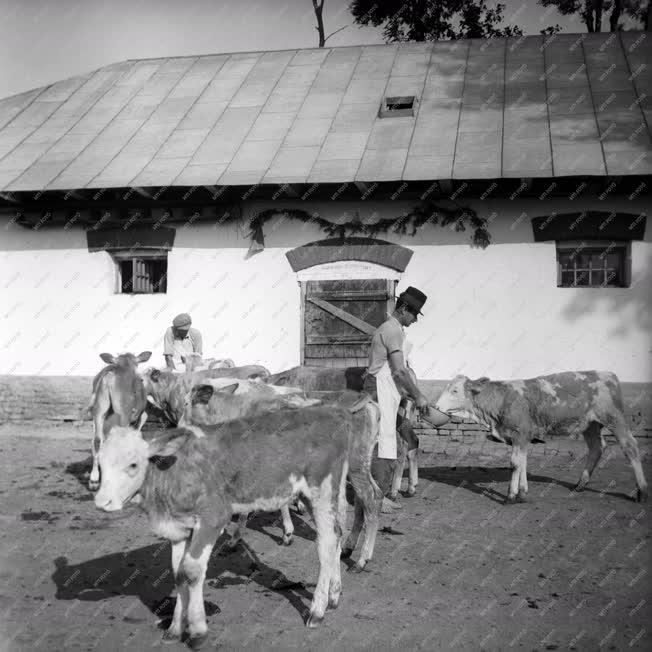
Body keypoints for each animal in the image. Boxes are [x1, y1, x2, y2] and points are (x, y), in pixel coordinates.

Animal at [86, 354, 152, 492]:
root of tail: (109, 376)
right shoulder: (138, 417)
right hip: (123, 415)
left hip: (99, 410)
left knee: (97, 441)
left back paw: (94, 480)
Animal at [95, 408, 372, 648]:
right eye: (99, 464)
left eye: (133, 464)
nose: (101, 502)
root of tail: (332, 412)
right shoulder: (179, 529)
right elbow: (178, 574)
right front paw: (174, 628)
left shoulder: (213, 517)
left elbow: (192, 570)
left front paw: (197, 631)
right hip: (319, 494)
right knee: (337, 535)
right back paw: (334, 595)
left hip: (320, 491)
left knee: (326, 544)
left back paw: (317, 610)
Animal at [436, 372, 648, 504]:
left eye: (455, 390)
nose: (436, 407)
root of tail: (607, 374)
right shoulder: (520, 437)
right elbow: (522, 462)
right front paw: (522, 493)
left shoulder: (520, 433)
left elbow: (515, 463)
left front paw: (511, 495)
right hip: (590, 424)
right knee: (597, 447)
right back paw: (581, 484)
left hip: (615, 419)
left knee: (630, 447)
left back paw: (642, 491)